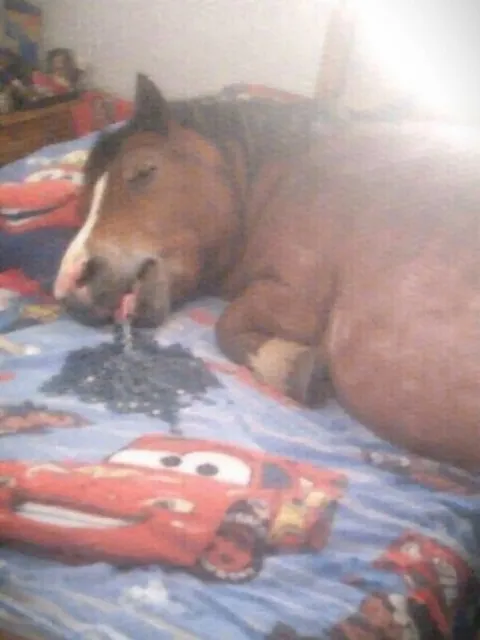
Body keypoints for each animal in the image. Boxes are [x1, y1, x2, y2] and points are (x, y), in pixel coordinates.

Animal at [53, 73, 480, 471]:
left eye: (144, 171)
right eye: (84, 203)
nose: (71, 287)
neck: (289, 177)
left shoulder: (301, 301)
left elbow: (228, 324)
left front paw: (288, 365)